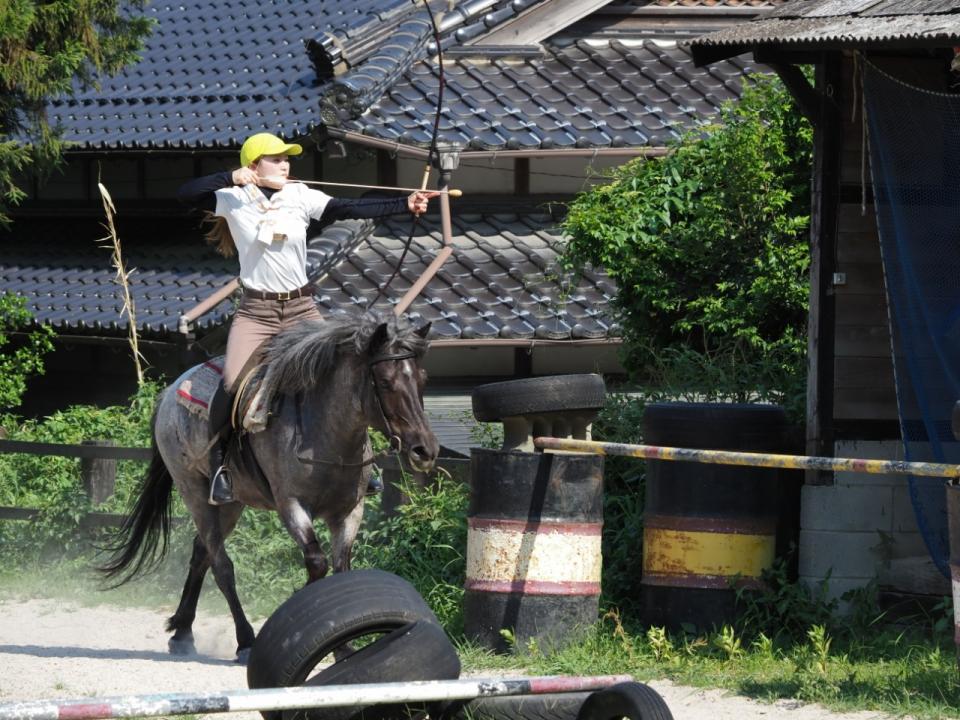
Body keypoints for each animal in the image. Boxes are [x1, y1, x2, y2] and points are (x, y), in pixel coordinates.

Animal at [99, 312, 439, 662]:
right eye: (385, 382)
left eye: (422, 379)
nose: (424, 451)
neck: (326, 437)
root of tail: (169, 393)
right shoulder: (291, 505)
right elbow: (317, 563)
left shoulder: (349, 511)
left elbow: (341, 569)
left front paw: (343, 645)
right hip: (194, 493)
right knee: (221, 566)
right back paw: (245, 640)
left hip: (231, 504)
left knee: (201, 553)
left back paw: (182, 632)